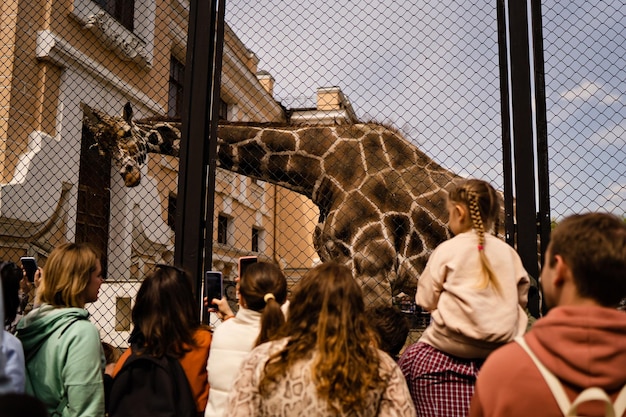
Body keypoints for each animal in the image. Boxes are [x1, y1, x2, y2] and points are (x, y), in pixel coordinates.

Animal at [83, 102, 460, 304]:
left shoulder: (374, 268)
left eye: (127, 135)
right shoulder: (342, 264)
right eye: (102, 148)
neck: (322, 171)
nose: (129, 175)